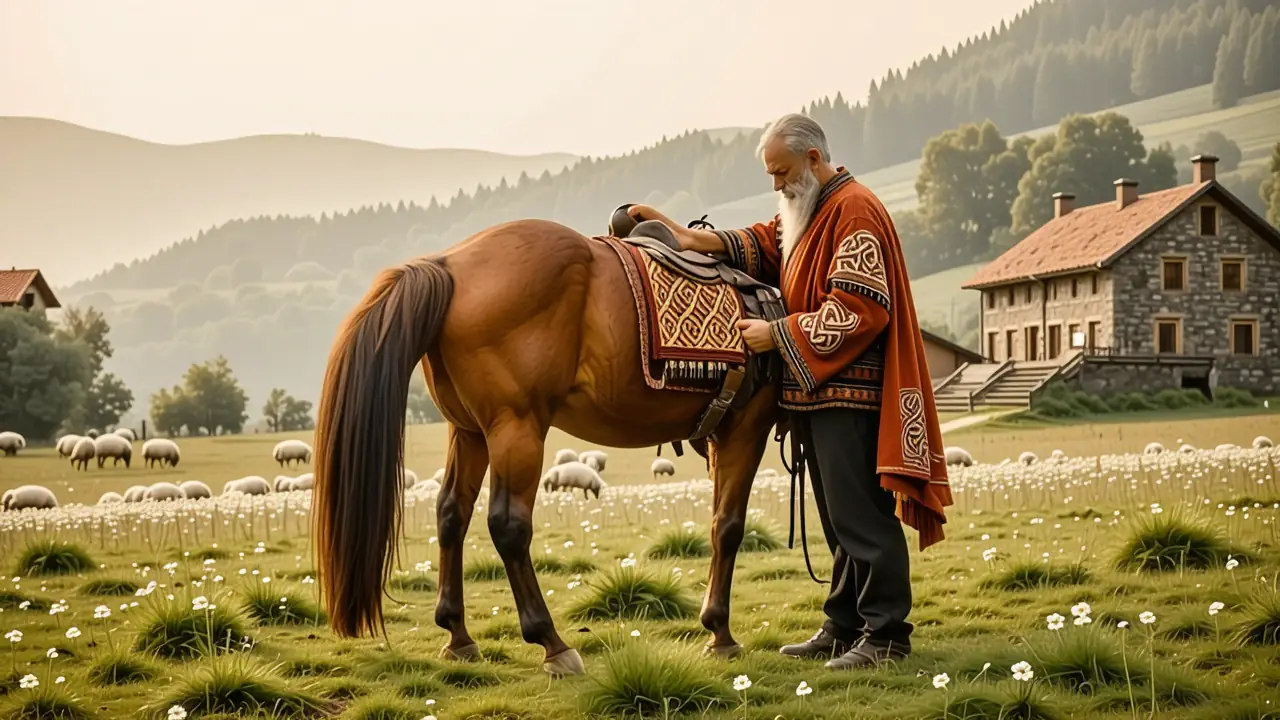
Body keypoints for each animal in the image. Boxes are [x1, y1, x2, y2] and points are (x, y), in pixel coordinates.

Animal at [312, 218, 780, 676]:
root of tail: (447, 264)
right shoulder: (745, 429)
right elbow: (727, 527)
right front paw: (720, 632)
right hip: (516, 427)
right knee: (508, 525)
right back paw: (551, 642)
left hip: (469, 432)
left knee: (451, 513)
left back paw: (458, 636)